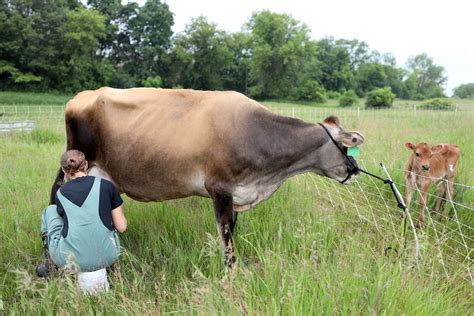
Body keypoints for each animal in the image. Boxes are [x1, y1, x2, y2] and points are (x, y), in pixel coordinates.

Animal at [50, 87, 364, 266]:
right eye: (346, 146)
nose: (354, 170)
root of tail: (81, 96)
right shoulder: (219, 187)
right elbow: (226, 234)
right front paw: (230, 271)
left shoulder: (238, 192)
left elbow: (232, 231)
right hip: (78, 163)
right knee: (56, 199)